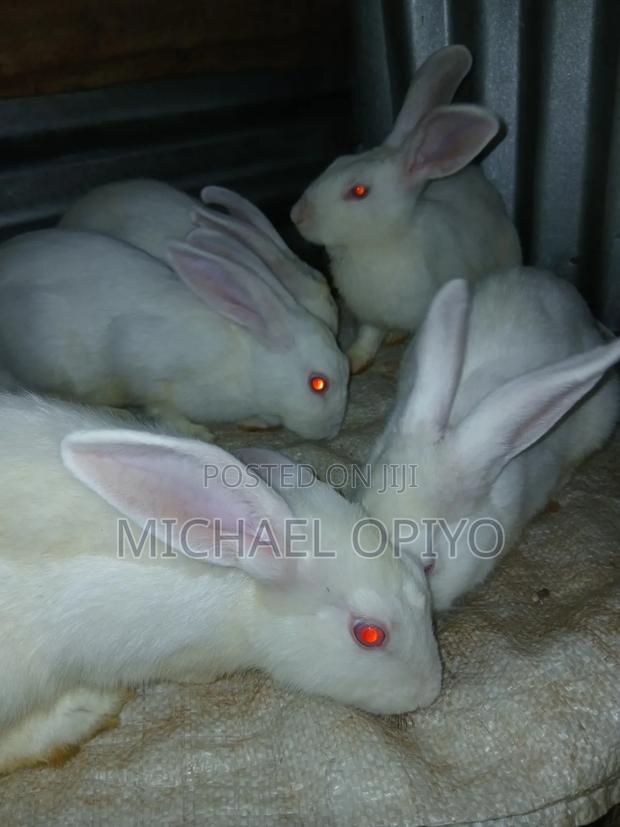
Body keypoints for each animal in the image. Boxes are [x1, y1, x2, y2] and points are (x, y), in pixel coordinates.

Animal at [0, 228, 349, 440]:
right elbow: (162, 408)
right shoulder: (144, 368)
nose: (332, 431)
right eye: (318, 384)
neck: (247, 363)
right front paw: (198, 433)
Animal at [290, 44, 522, 373]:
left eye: (358, 191)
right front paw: (353, 360)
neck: (380, 244)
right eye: (335, 162)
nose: (296, 215)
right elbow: (367, 338)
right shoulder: (371, 317)